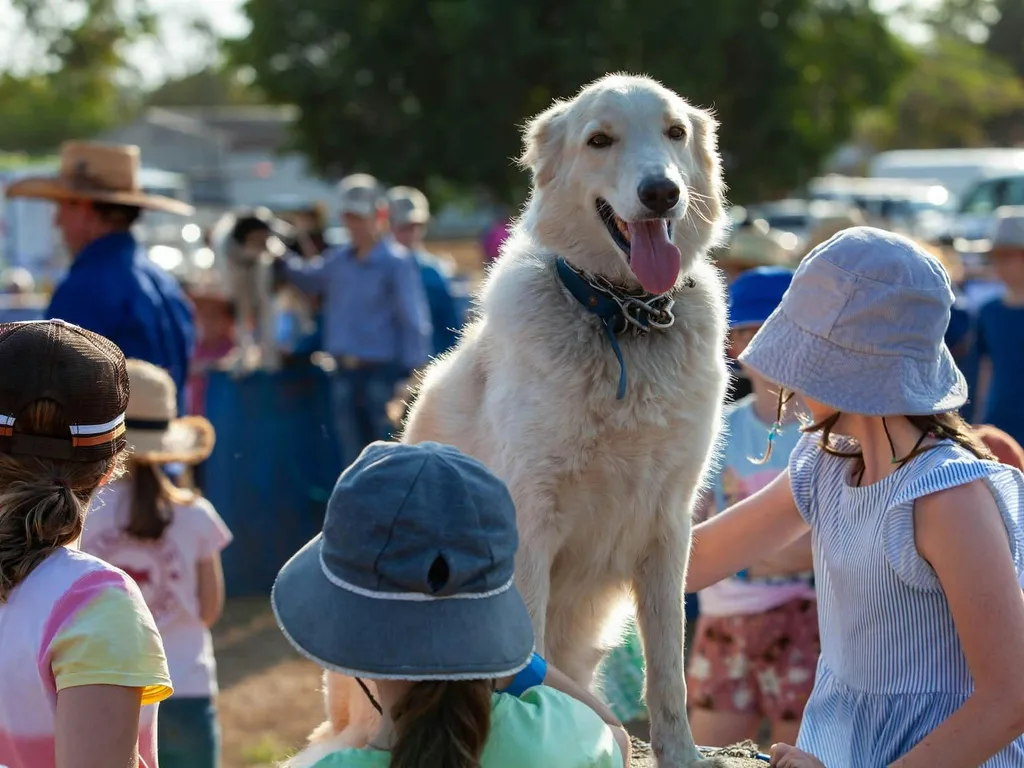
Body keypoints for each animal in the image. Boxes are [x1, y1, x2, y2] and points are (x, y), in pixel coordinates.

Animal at [299, 73, 733, 768]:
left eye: (674, 133)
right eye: (600, 140)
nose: (661, 192)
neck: (622, 321)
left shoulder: (669, 526)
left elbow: (669, 671)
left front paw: (682, 755)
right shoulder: (531, 518)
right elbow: (524, 656)